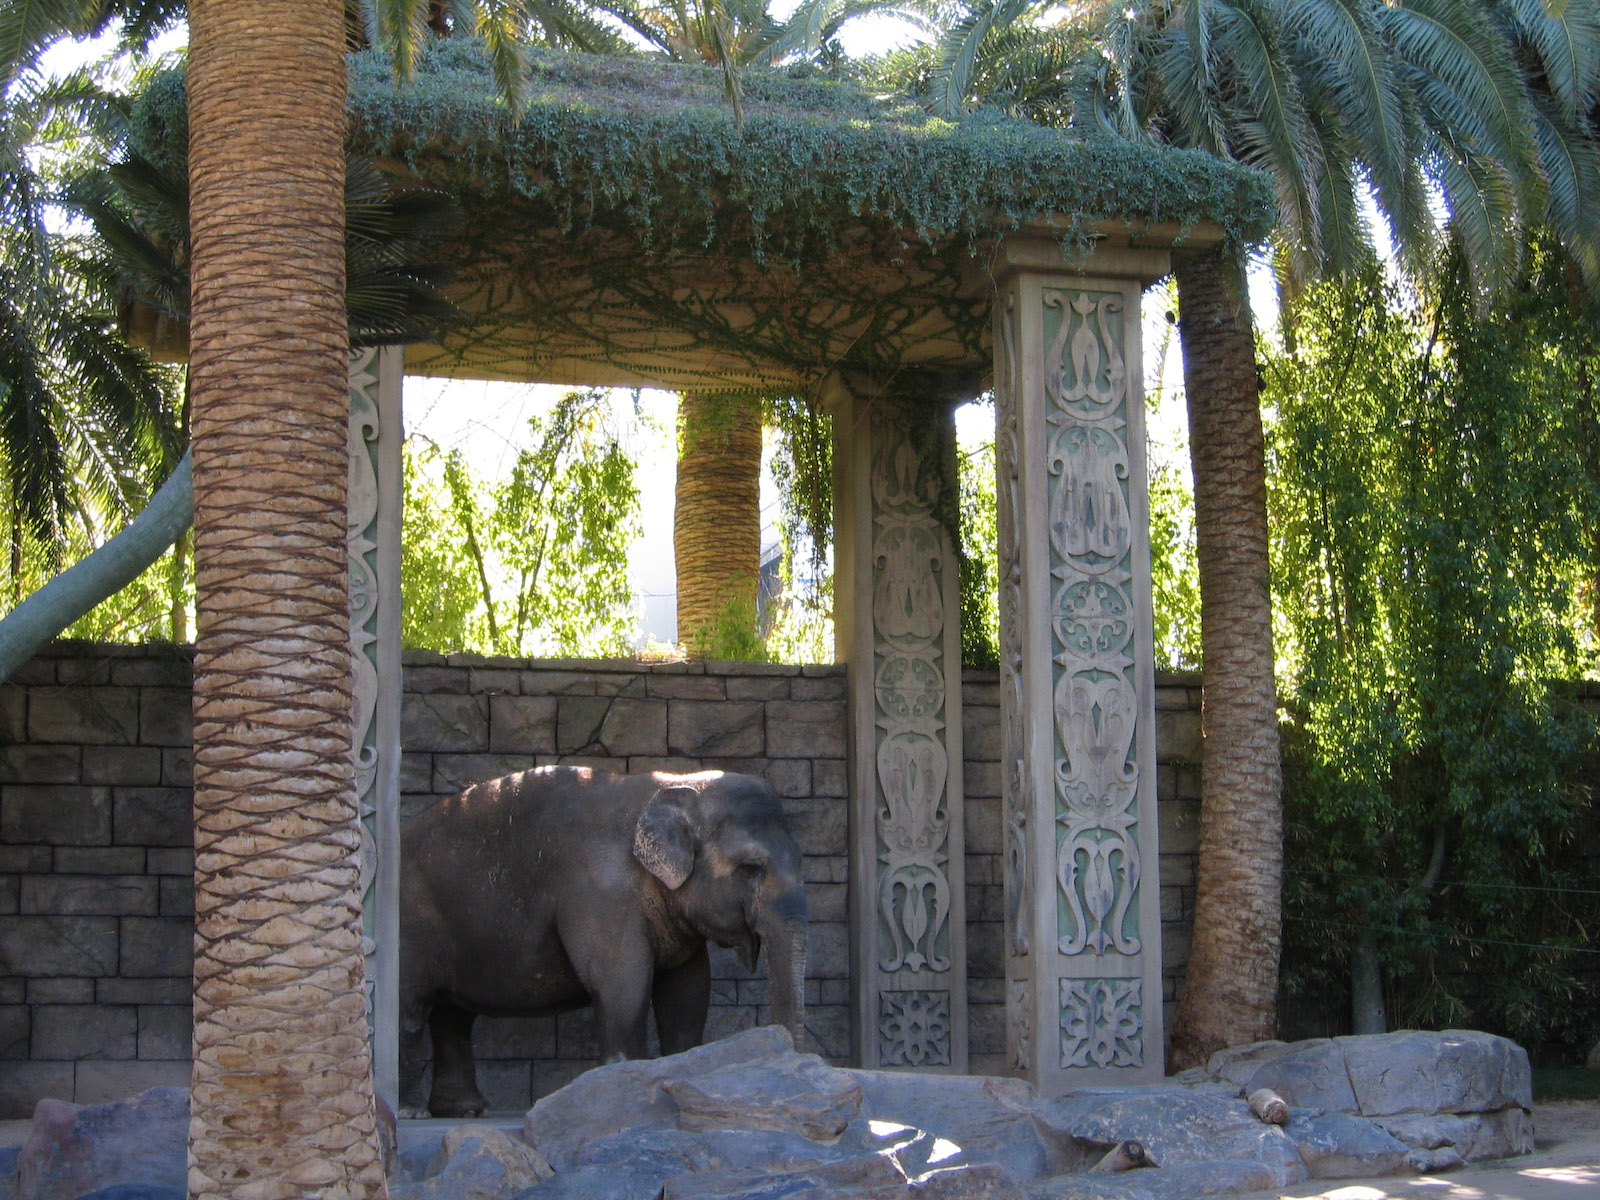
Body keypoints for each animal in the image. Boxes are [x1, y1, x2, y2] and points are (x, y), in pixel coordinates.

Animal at [398, 765, 809, 1118]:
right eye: (751, 868)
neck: (674, 784)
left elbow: (687, 990)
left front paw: (684, 1068)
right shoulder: (600, 892)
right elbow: (622, 981)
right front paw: (627, 1090)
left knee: (452, 1017)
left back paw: (465, 1109)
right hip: (410, 927)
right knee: (411, 1010)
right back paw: (412, 1111)